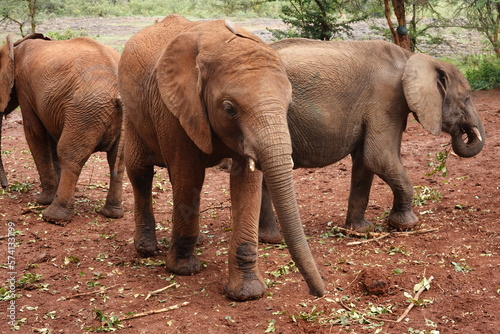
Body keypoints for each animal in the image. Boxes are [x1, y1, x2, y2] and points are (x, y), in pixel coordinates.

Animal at [0, 33, 124, 222]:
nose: (5, 187)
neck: (15, 46)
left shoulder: (25, 89)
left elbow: (35, 134)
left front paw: (43, 200)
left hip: (85, 111)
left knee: (70, 154)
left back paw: (53, 217)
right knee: (117, 159)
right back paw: (111, 214)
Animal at [119, 15, 326, 302]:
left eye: (289, 105)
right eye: (229, 109)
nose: (318, 292)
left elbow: (246, 184)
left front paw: (248, 293)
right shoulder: (173, 107)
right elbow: (189, 176)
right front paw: (183, 269)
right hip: (133, 112)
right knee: (140, 172)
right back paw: (146, 249)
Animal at [258, 38, 484, 243]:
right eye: (466, 98)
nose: (461, 132)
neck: (411, 58)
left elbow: (364, 163)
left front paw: (359, 230)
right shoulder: (386, 100)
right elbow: (378, 157)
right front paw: (407, 225)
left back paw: (270, 238)